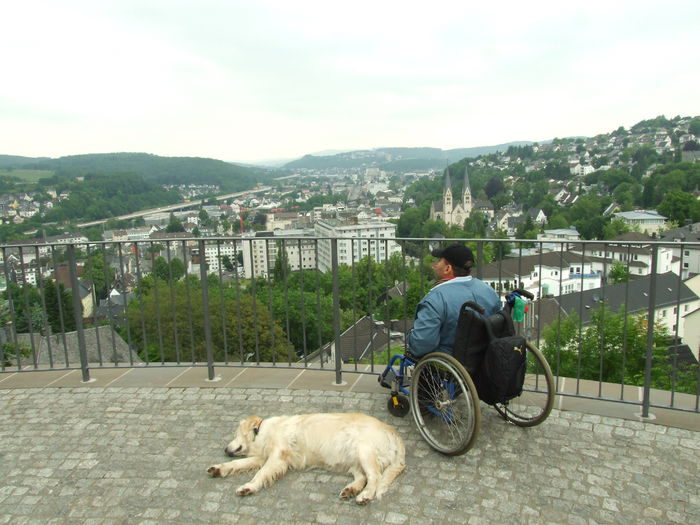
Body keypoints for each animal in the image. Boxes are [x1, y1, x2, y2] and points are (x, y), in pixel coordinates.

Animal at [206, 414, 404, 504]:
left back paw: (365, 495)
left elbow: (260, 474)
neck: (261, 432)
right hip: (354, 459)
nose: (225, 449)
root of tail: (394, 432)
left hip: (364, 450)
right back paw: (350, 490)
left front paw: (248, 487)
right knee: (363, 477)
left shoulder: (277, 456)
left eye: (235, 434)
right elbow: (237, 463)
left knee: (375, 477)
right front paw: (219, 468)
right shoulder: (262, 457)